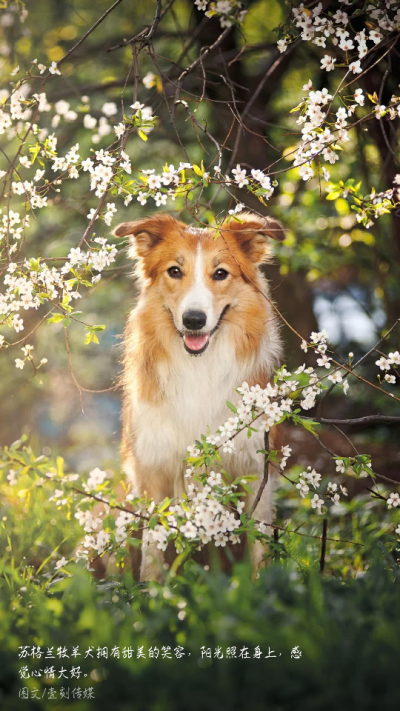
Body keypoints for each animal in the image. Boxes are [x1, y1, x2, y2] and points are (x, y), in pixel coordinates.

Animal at [113, 214, 284, 580]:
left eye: (220, 273)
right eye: (175, 271)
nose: (193, 320)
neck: (199, 365)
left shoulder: (254, 469)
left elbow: (259, 545)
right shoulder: (155, 468)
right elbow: (152, 552)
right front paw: (150, 590)